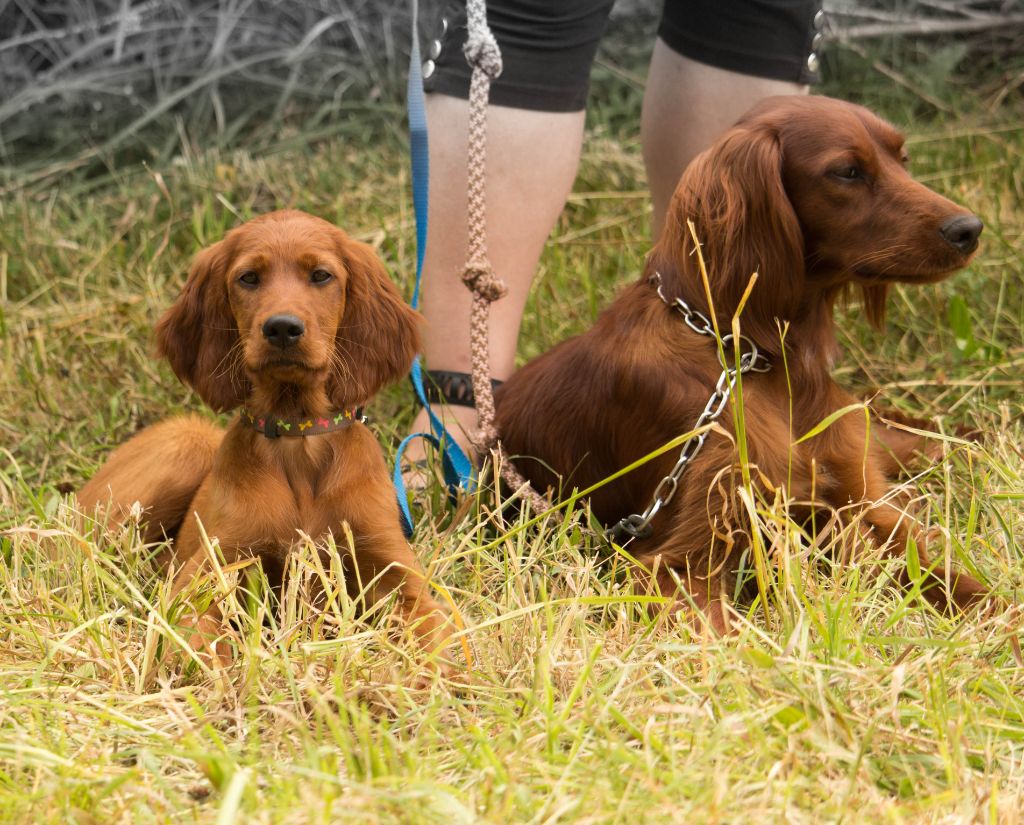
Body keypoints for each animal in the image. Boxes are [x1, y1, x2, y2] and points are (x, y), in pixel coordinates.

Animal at [86, 209, 454, 667]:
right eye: (248, 278)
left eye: (320, 275)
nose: (281, 328)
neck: (298, 437)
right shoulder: (207, 572)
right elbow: (198, 643)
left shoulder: (396, 570)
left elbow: (435, 636)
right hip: (185, 446)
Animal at [495, 93, 991, 630]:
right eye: (847, 171)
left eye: (903, 158)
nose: (969, 229)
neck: (751, 355)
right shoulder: (679, 560)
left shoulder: (863, 508)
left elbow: (964, 588)